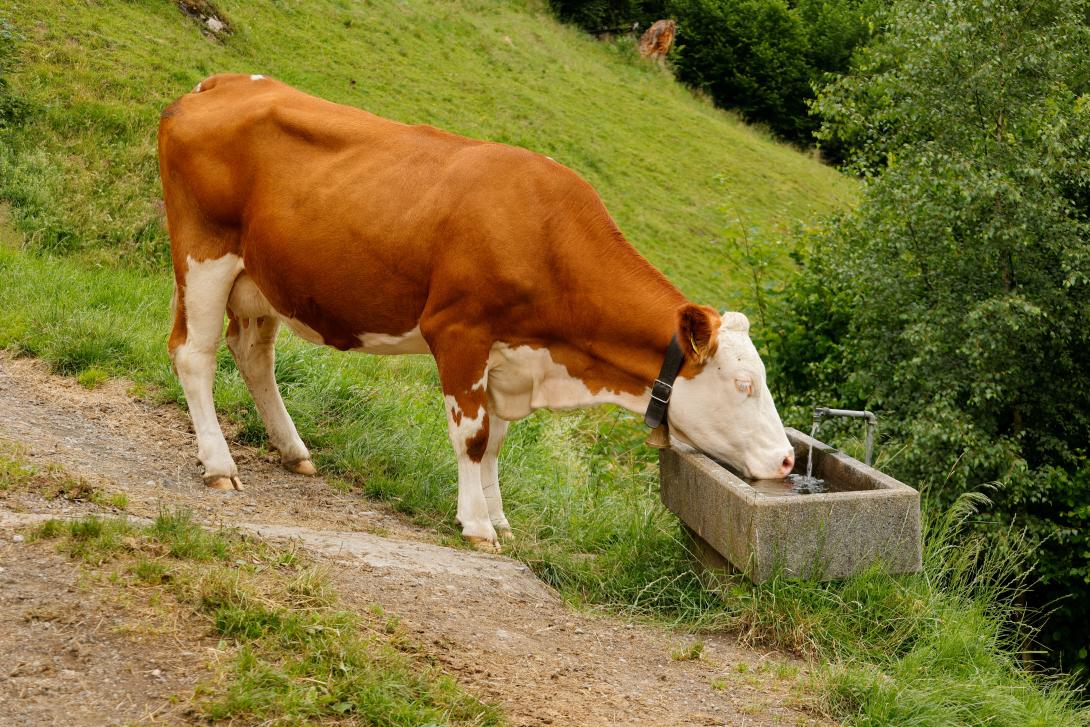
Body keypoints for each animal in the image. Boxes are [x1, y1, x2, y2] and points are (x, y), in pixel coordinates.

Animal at [158, 75, 793, 551]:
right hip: (204, 255)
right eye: (744, 384)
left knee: (253, 355)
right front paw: (478, 524)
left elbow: (497, 440)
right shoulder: (459, 331)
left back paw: (293, 451)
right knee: (194, 354)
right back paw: (218, 462)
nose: (788, 460)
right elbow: (473, 435)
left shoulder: (510, 357)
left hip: (262, 279)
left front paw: (500, 517)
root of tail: (221, 82)